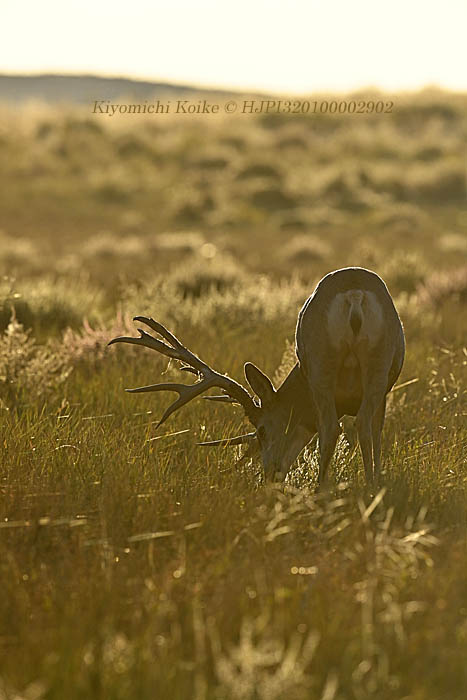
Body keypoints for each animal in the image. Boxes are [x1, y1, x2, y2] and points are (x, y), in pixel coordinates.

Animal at [109, 267, 405, 486]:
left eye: (261, 430)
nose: (270, 473)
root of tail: (354, 295)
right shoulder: (383, 392)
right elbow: (376, 433)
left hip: (327, 364)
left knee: (335, 427)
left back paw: (323, 490)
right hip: (372, 366)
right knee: (358, 424)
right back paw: (366, 486)